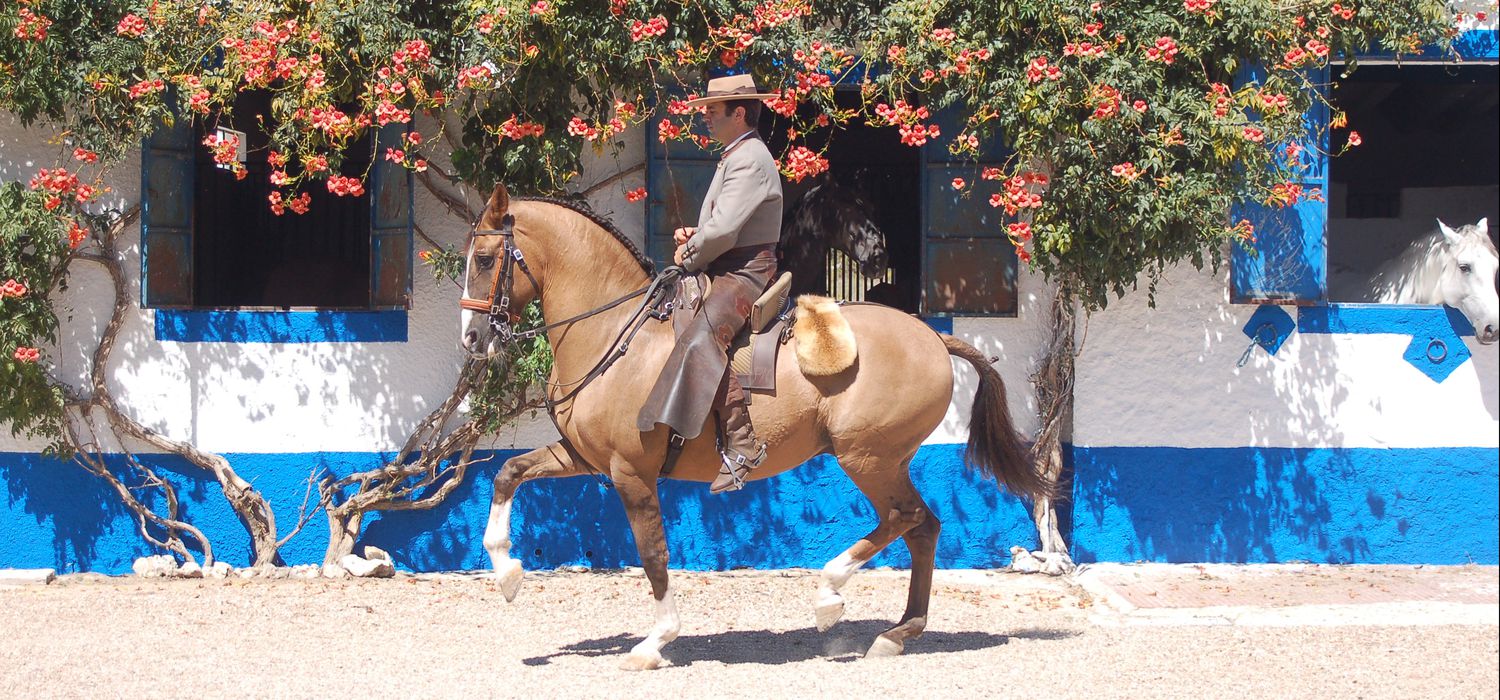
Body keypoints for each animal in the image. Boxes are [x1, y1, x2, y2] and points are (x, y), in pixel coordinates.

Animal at [462, 183, 1050, 671]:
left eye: (486, 259)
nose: (471, 338)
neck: (620, 336)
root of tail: (933, 338)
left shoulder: (631, 472)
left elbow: (653, 554)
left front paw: (655, 643)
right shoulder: (584, 457)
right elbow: (508, 474)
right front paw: (507, 574)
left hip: (868, 458)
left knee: (905, 519)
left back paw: (830, 595)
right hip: (884, 461)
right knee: (922, 528)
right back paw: (898, 632)